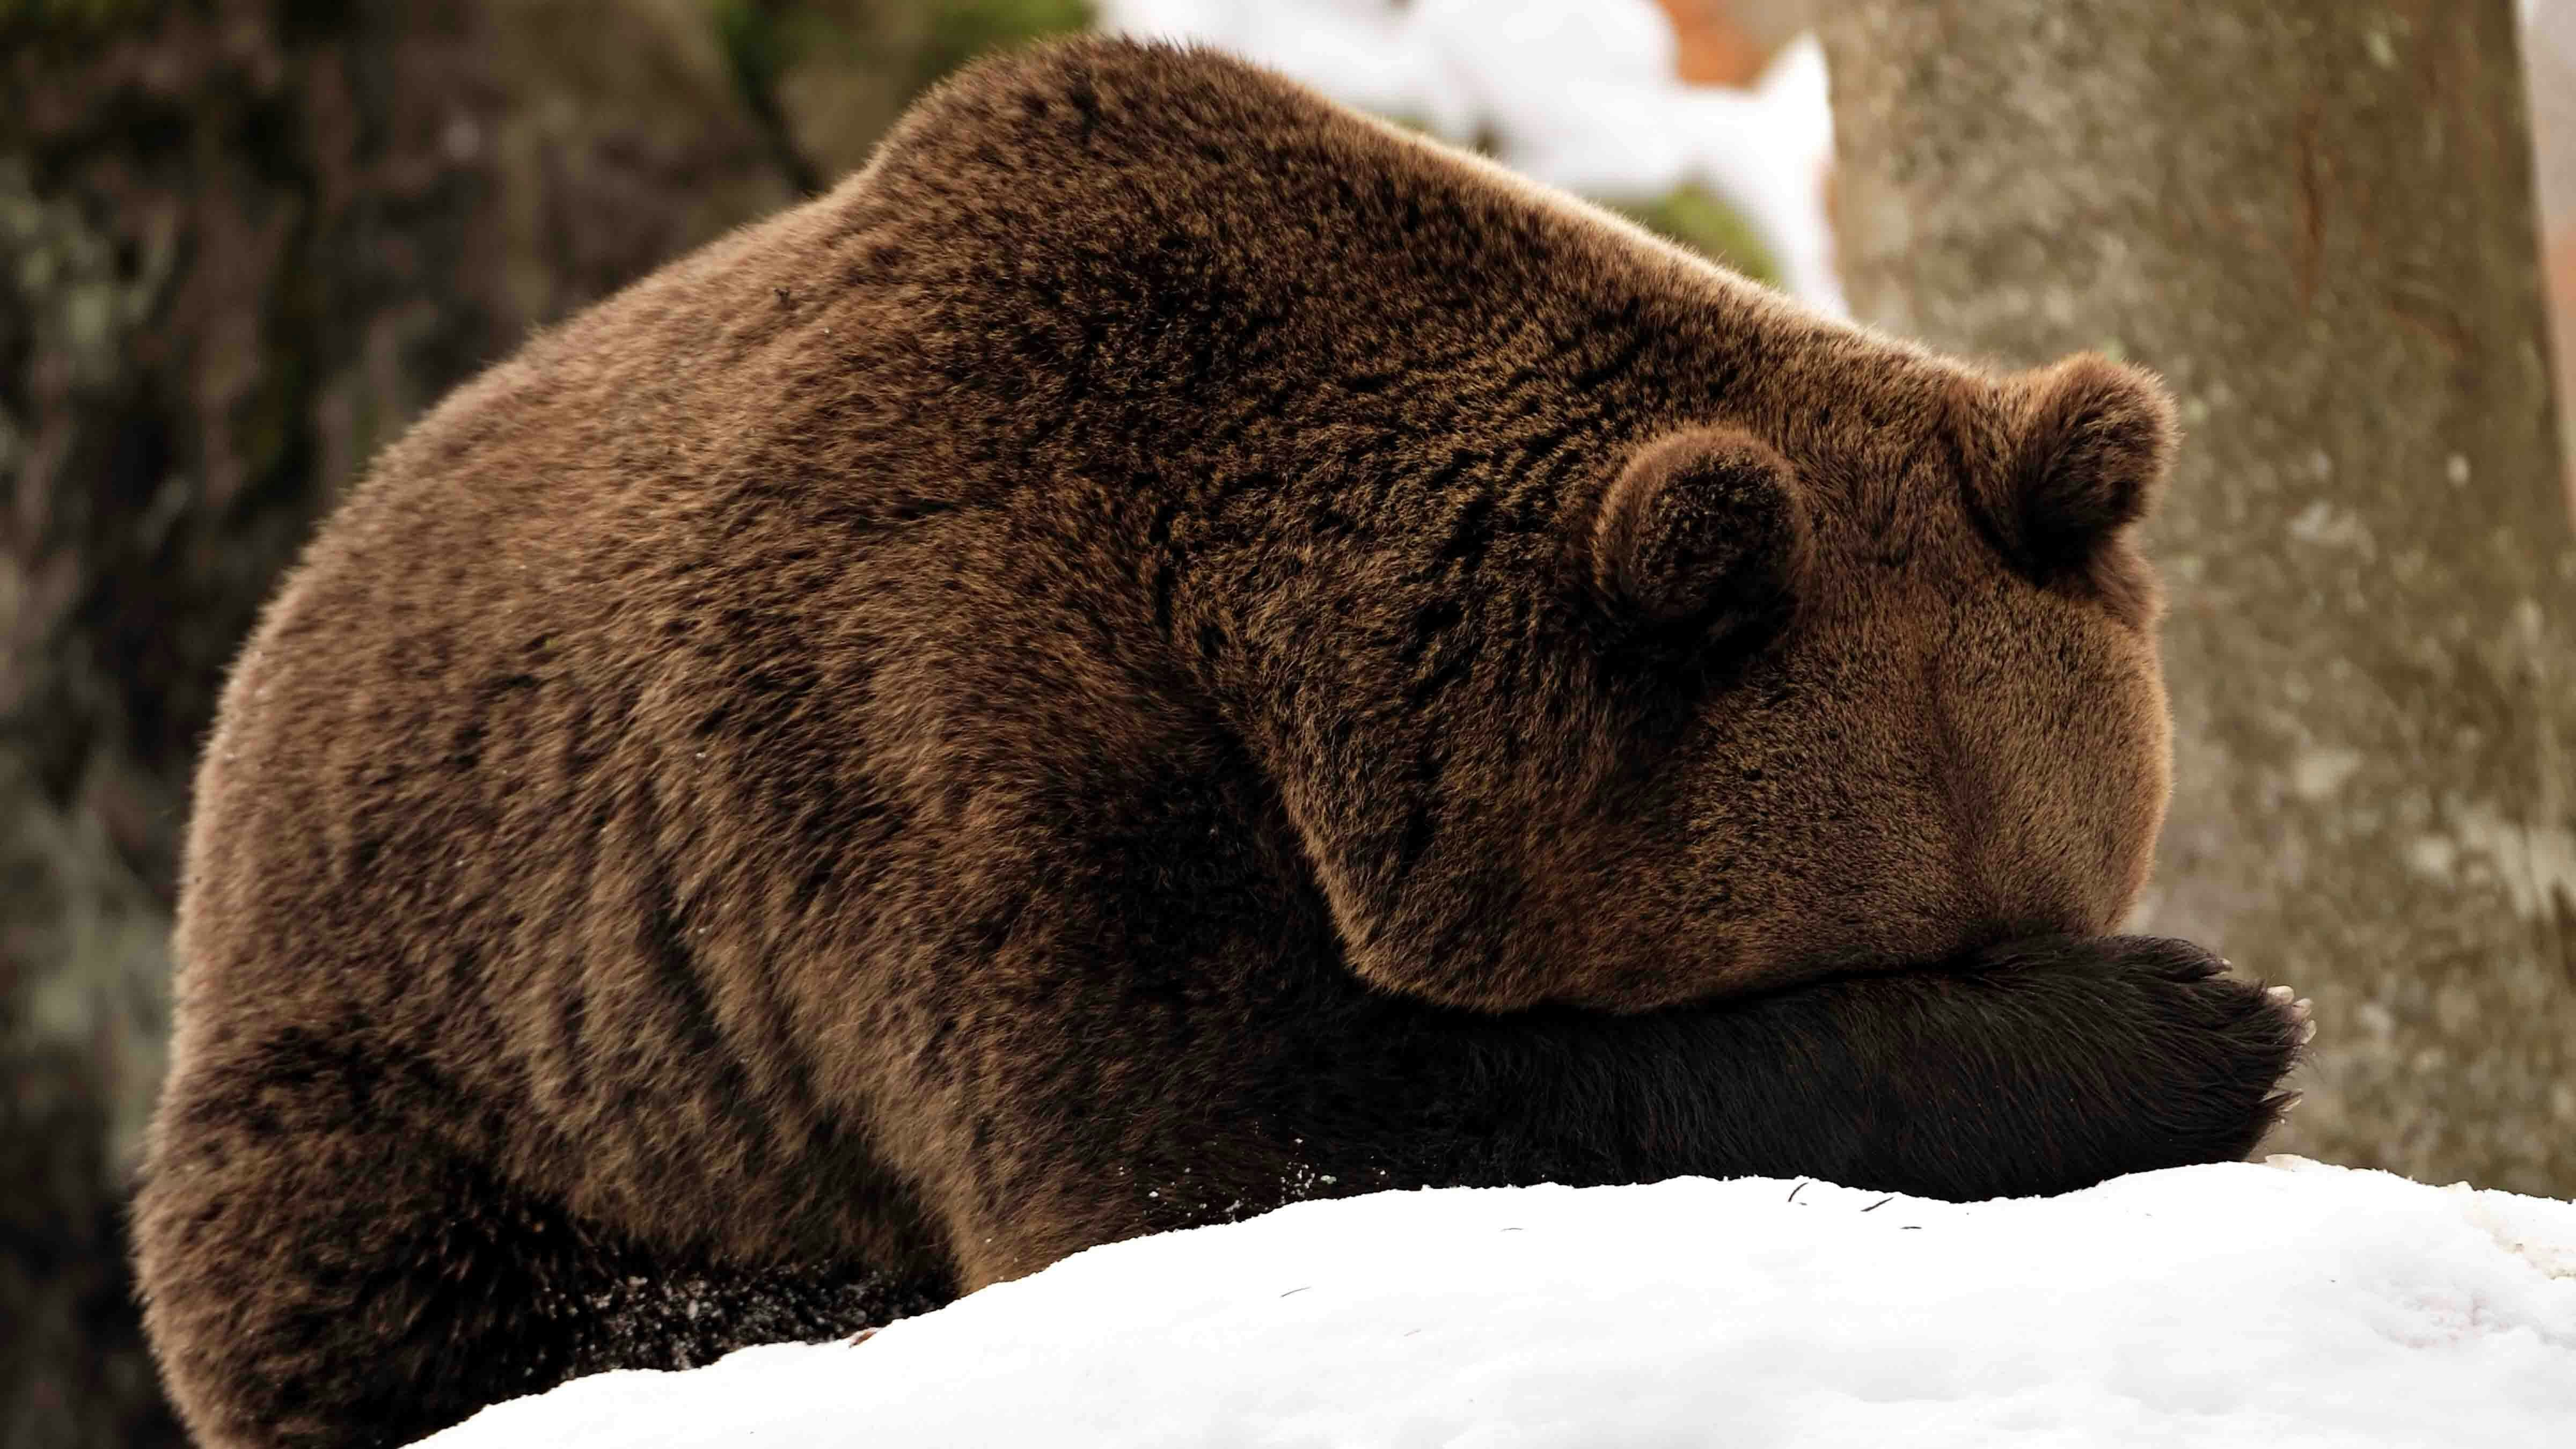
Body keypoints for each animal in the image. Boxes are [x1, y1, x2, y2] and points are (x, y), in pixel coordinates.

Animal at [134, 36, 2305, 1449]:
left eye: (2052, 875)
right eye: (1910, 945)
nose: (2063, 960)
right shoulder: (956, 723)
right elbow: (1201, 1138)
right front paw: (2201, 1029)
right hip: (441, 1072)